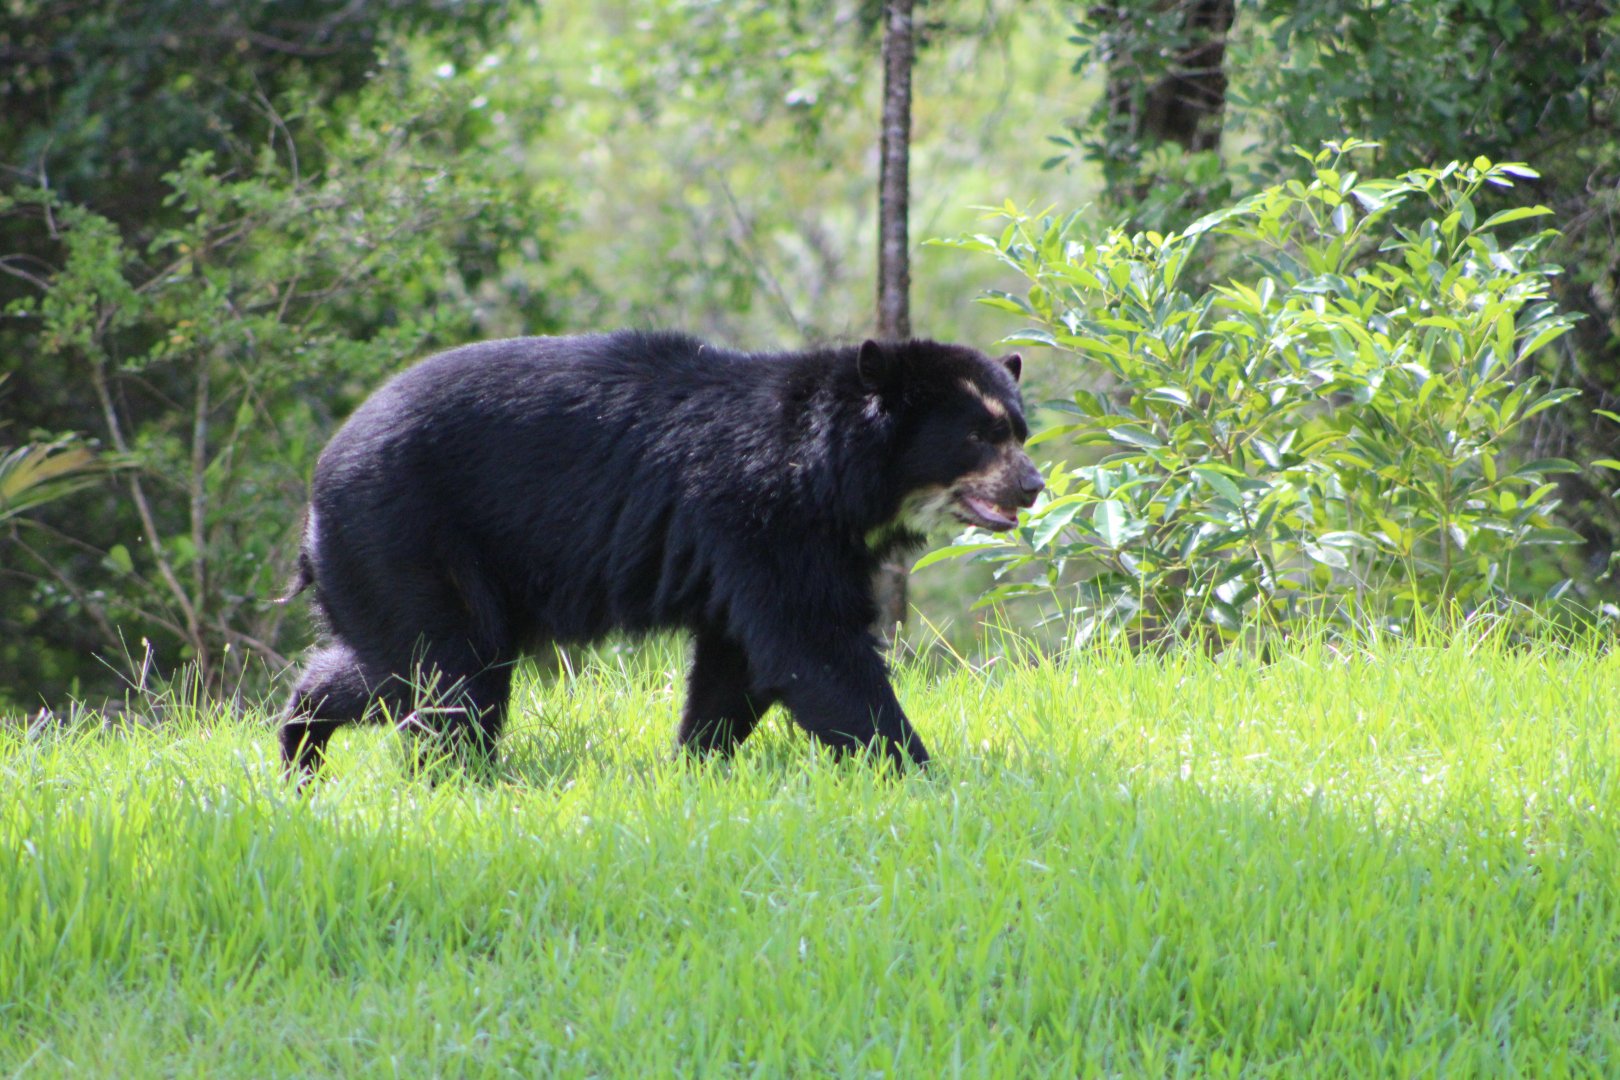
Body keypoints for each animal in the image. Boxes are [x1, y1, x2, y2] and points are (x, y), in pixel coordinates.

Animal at [278, 331, 1043, 777]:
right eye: (978, 437)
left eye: (1019, 431)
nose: (1033, 487)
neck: (835, 481)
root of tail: (316, 488)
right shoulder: (760, 517)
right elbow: (812, 648)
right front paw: (917, 772)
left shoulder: (791, 545)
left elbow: (737, 664)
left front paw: (694, 764)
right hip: (407, 538)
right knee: (450, 676)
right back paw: (456, 779)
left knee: (392, 668)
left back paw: (300, 745)